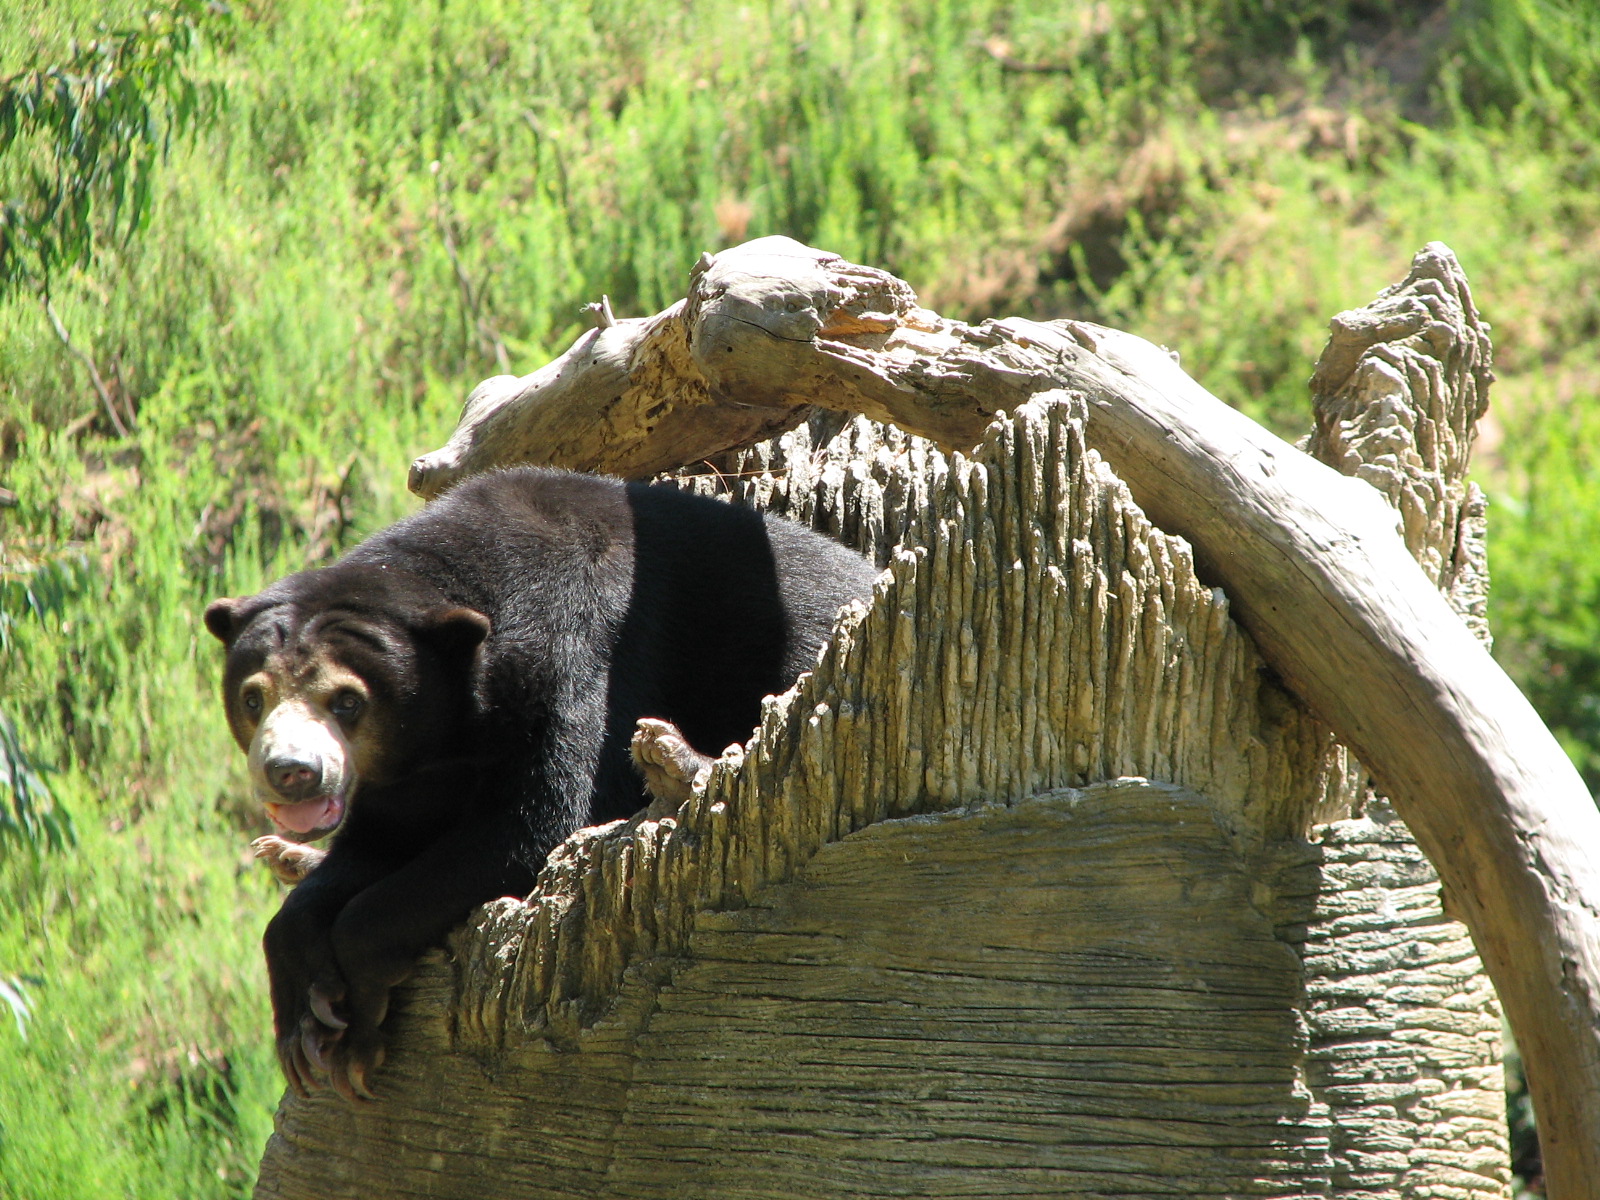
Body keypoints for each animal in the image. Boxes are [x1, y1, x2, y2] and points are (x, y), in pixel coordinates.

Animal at [204, 466, 878, 1101]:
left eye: (347, 701)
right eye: (254, 697)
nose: (292, 772)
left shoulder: (581, 650)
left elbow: (540, 825)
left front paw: (354, 1034)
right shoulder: (415, 768)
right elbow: (378, 843)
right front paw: (301, 1018)